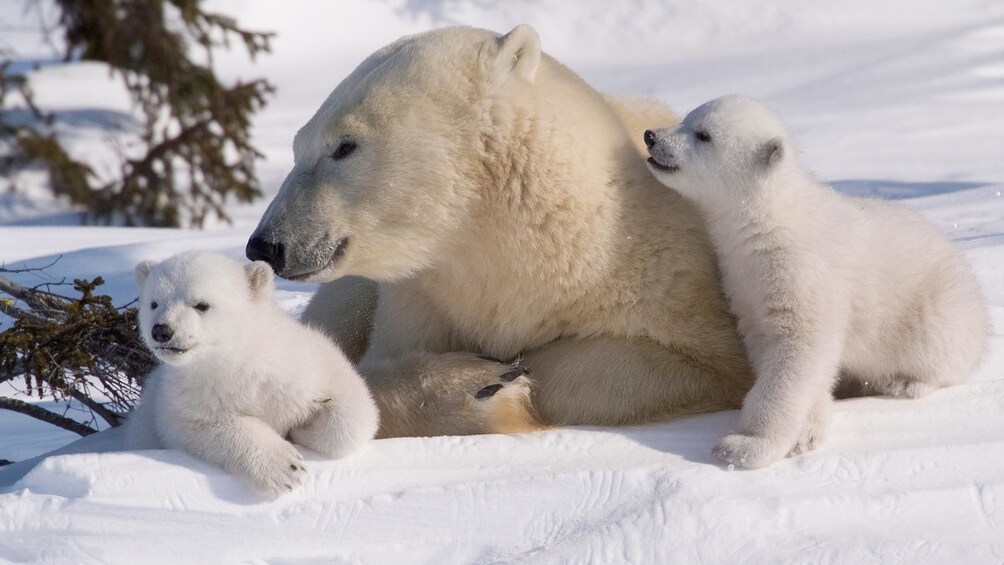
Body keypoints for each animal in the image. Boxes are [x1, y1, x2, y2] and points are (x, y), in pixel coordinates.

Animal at [248, 24, 755, 437]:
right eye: (297, 145)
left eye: (344, 146)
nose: (266, 244)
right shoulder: (423, 298)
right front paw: (477, 384)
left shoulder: (668, 279)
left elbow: (691, 362)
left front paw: (507, 378)